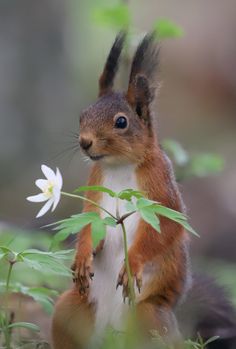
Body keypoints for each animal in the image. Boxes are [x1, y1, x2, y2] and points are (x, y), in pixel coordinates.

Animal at [51, 32, 236, 348]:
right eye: (82, 114)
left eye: (121, 122)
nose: (85, 142)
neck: (118, 166)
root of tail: (110, 336)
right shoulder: (95, 187)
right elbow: (89, 221)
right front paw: (82, 255)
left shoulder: (161, 188)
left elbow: (165, 228)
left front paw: (133, 262)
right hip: (70, 308)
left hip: (149, 317)